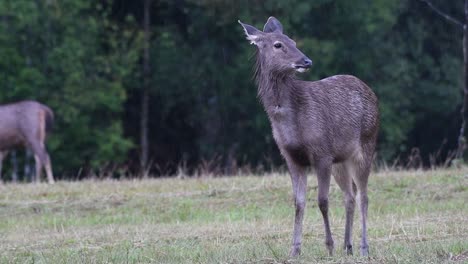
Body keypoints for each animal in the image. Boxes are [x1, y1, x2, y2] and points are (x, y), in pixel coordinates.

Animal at [238, 17, 380, 256]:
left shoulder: (322, 152)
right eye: (278, 44)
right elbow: (299, 202)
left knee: (364, 196)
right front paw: (294, 250)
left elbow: (322, 200)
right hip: (341, 159)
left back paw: (363, 248)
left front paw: (329, 246)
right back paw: (348, 246)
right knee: (350, 196)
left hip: (367, 144)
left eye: (294, 41)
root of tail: (371, 92)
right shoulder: (291, 157)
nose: (306, 61)